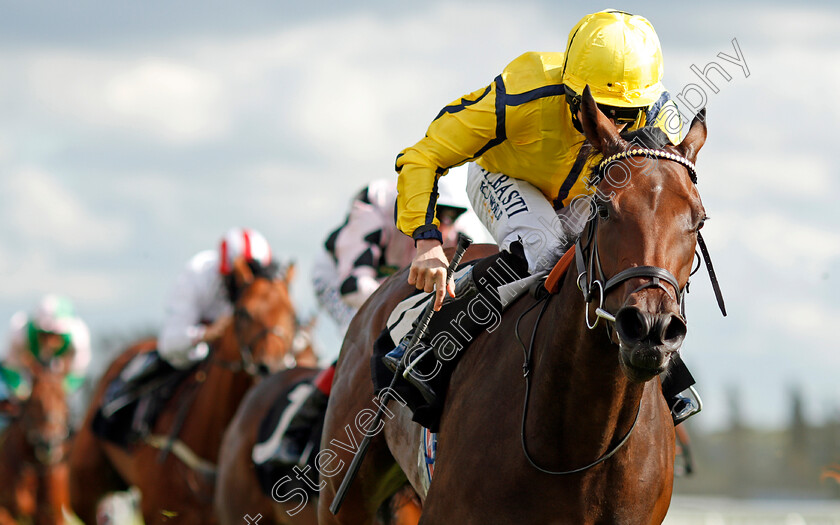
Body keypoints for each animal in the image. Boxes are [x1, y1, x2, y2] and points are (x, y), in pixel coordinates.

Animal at [318, 87, 712, 524]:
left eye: (699, 220)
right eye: (605, 208)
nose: (650, 327)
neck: (579, 447)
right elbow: (427, 153)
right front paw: (430, 260)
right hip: (344, 493)